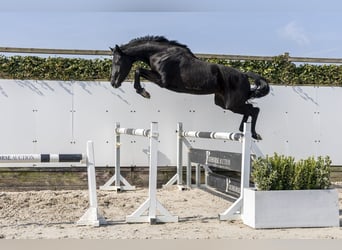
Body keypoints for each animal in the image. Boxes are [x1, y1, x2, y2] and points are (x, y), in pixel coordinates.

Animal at [109, 36, 270, 140]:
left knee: (254, 110)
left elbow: (138, 70)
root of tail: (243, 74)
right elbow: (139, 71)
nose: (113, 83)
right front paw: (143, 92)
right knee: (251, 109)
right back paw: (243, 130)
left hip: (232, 104)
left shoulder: (162, 81)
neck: (160, 54)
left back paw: (253, 134)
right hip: (222, 102)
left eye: (117, 61)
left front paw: (144, 92)